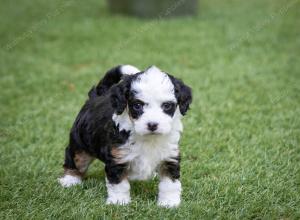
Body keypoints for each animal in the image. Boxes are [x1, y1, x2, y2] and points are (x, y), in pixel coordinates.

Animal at [58, 64, 192, 207]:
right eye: (137, 105)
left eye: (167, 106)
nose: (152, 125)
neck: (148, 138)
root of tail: (95, 97)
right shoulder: (117, 158)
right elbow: (119, 184)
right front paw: (119, 202)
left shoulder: (170, 156)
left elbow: (170, 184)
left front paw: (169, 203)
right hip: (80, 142)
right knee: (75, 157)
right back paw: (70, 180)